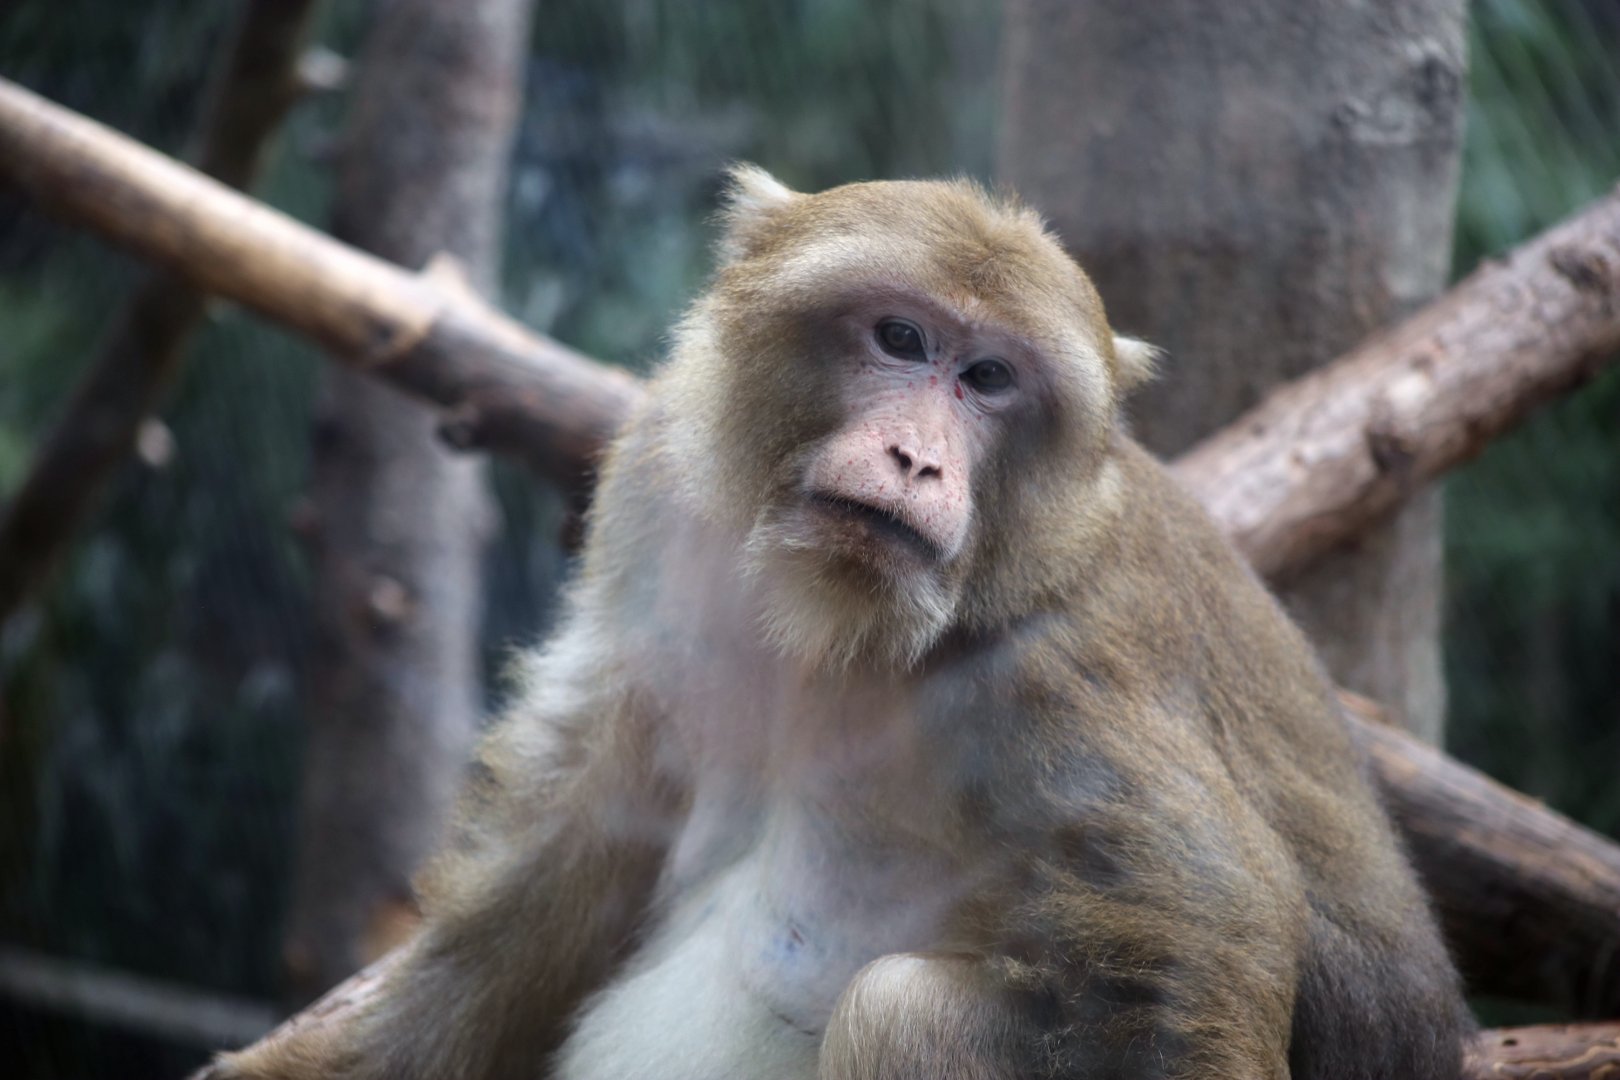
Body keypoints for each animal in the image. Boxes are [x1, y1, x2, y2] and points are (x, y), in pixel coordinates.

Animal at [212, 167, 1468, 1080]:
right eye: (900, 341)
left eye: (989, 379)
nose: (916, 458)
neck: (840, 626)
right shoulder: (661, 477)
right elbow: (584, 820)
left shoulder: (1053, 659)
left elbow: (1197, 935)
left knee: (897, 1011)